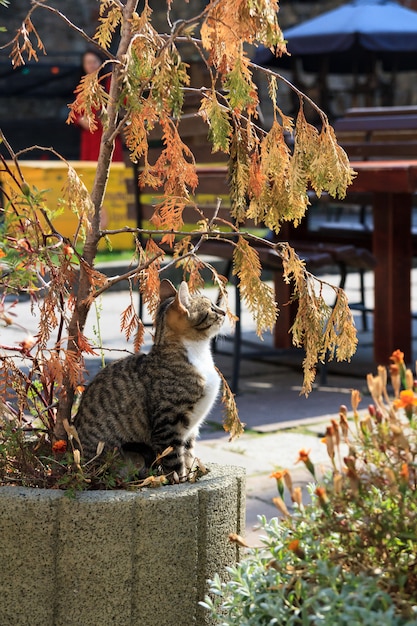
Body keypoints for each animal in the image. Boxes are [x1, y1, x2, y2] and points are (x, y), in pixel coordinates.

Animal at [73, 278, 226, 478]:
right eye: (212, 308)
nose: (224, 311)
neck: (197, 355)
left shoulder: (190, 429)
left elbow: (189, 454)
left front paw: (192, 476)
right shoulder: (168, 425)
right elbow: (175, 463)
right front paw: (180, 479)